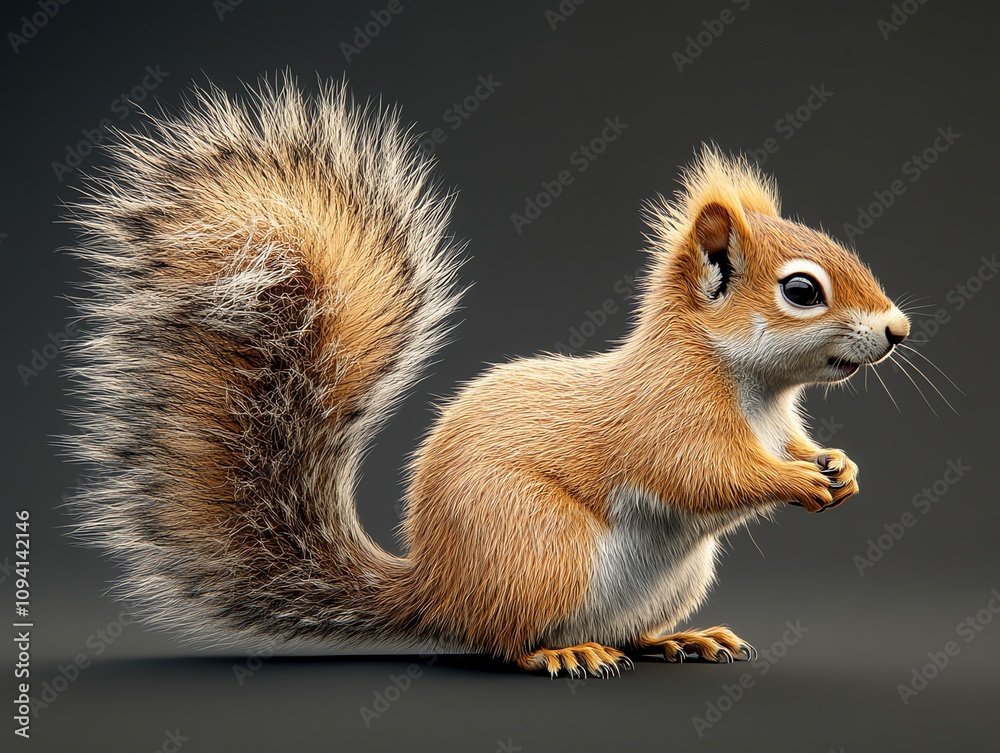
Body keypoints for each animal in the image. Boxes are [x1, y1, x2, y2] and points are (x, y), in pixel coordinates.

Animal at [65, 79, 910, 677]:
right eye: (801, 290)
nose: (898, 329)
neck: (757, 389)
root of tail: (436, 591)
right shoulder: (666, 416)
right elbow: (704, 471)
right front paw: (796, 482)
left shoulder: (781, 421)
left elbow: (795, 447)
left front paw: (837, 466)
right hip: (540, 548)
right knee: (506, 641)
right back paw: (560, 652)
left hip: (671, 574)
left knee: (628, 632)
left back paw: (678, 638)